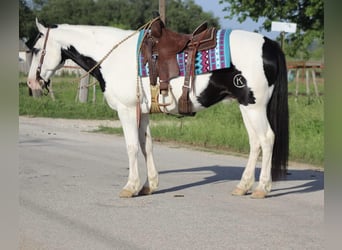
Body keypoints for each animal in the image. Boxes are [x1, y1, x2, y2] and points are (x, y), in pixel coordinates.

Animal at [27, 16, 288, 198]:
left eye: (37, 50)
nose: (31, 83)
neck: (115, 58)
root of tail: (269, 44)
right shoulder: (142, 112)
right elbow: (147, 146)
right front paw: (148, 186)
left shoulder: (126, 110)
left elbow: (132, 146)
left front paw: (130, 187)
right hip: (246, 106)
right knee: (255, 143)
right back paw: (243, 186)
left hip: (255, 107)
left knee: (267, 139)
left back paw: (262, 188)